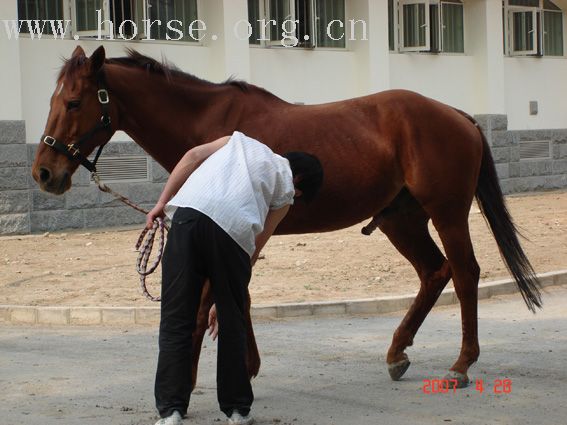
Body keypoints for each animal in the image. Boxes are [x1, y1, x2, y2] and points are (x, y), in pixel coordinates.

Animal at [32, 45, 544, 388]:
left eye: (74, 102)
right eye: (52, 101)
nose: (44, 172)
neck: (208, 125)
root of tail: (456, 114)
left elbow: (211, 303)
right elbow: (237, 296)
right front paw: (247, 365)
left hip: (447, 213)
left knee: (465, 273)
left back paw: (461, 364)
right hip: (400, 220)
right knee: (435, 272)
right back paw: (398, 352)